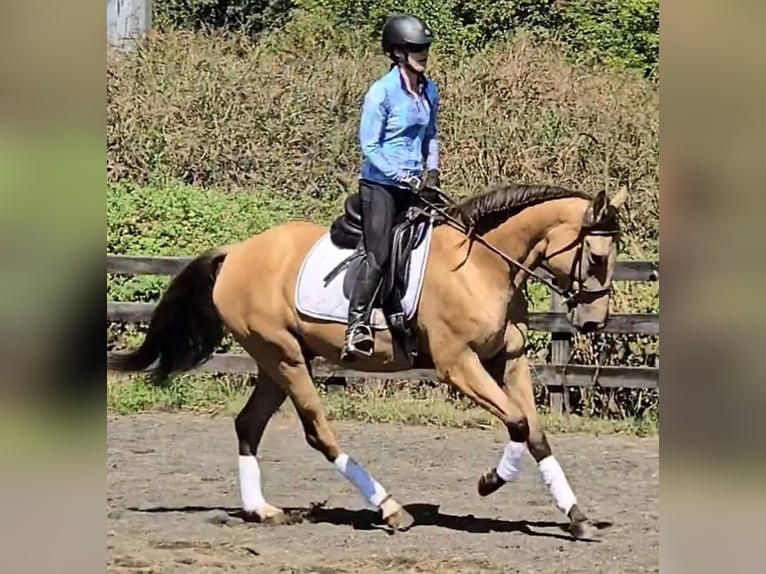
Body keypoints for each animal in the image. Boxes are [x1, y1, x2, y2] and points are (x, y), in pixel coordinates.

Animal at [109, 182, 626, 540]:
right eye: (596, 258)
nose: (594, 323)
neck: (481, 266)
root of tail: (237, 252)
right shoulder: (459, 365)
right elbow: (517, 423)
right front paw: (489, 483)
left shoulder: (508, 360)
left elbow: (534, 431)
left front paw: (577, 518)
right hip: (286, 357)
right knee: (318, 431)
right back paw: (392, 509)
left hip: (275, 361)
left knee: (248, 425)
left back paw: (263, 510)